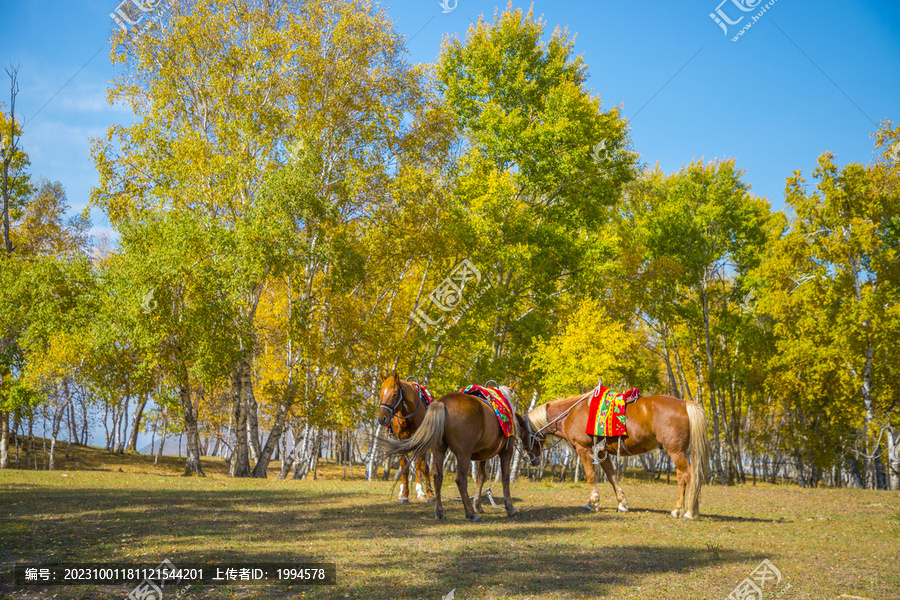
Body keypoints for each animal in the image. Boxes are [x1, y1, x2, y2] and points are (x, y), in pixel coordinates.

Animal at [376, 372, 436, 504]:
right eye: (381, 393)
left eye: (394, 394)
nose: (382, 418)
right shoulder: (400, 442)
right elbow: (405, 467)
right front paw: (404, 495)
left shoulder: (421, 442)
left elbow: (422, 467)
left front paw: (429, 495)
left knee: (421, 466)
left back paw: (421, 491)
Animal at [380, 390, 520, 520]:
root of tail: (443, 402)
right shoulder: (507, 451)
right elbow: (505, 477)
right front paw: (510, 507)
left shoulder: (483, 455)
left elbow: (480, 477)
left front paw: (478, 505)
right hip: (464, 454)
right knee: (460, 480)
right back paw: (471, 513)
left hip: (439, 450)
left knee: (437, 477)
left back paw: (440, 512)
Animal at [512, 392, 712, 516]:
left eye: (523, 433)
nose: (529, 458)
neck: (572, 413)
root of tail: (685, 404)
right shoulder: (602, 452)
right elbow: (611, 476)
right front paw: (622, 503)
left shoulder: (584, 449)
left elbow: (591, 476)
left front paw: (593, 503)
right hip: (676, 452)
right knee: (682, 478)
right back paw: (679, 510)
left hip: (675, 452)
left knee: (689, 476)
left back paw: (689, 512)